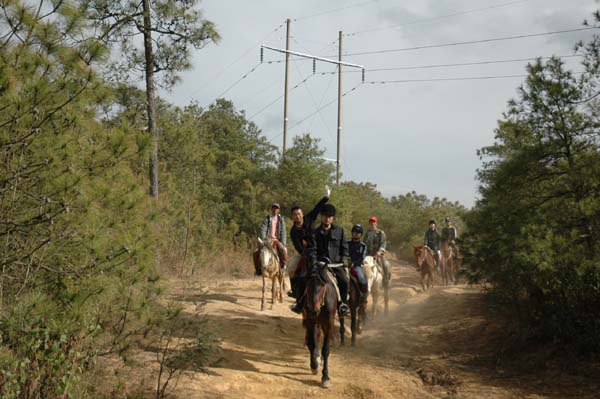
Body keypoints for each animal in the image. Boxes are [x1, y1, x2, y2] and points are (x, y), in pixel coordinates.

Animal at [304, 260, 338, 390]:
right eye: (308, 284)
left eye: (322, 285)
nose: (313, 311)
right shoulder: (310, 322)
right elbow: (312, 344)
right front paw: (314, 365)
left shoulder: (328, 325)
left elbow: (326, 350)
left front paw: (325, 377)